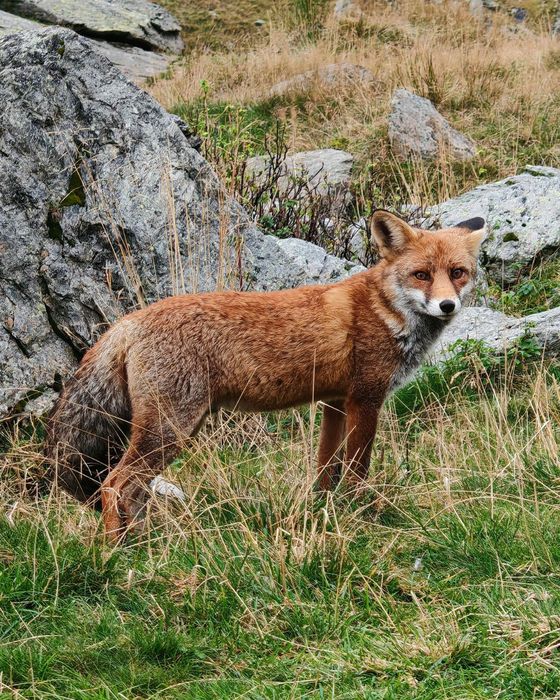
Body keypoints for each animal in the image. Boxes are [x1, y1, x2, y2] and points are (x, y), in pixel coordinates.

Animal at [45, 210, 486, 542]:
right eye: (421, 275)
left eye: (458, 272)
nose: (447, 306)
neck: (384, 310)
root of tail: (129, 321)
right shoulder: (366, 399)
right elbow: (357, 471)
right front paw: (360, 513)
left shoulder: (334, 402)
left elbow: (325, 470)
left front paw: (323, 510)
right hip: (171, 429)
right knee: (113, 484)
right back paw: (116, 551)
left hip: (178, 429)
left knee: (130, 492)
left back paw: (142, 544)